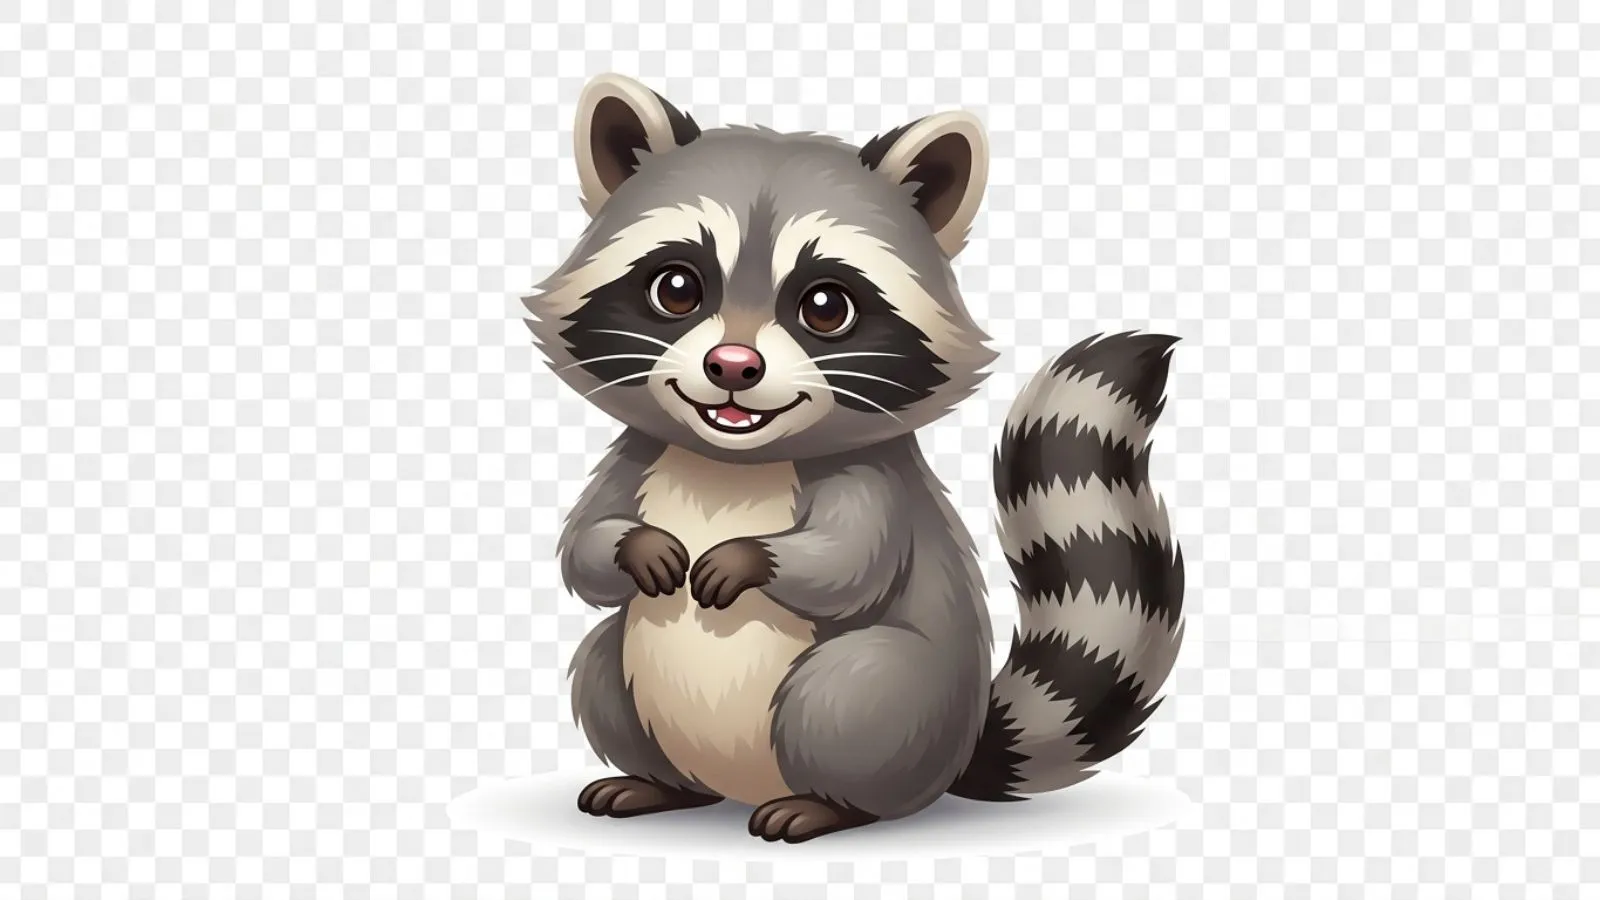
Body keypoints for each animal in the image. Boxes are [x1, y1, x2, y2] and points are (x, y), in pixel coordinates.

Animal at [524, 74, 1186, 843]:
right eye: (677, 288)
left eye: (825, 306)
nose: (732, 366)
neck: (733, 460)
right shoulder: (639, 454)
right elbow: (583, 549)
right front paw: (632, 546)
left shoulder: (871, 477)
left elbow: (850, 560)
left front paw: (751, 557)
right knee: (602, 656)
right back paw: (659, 785)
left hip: (896, 710)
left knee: (850, 683)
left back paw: (829, 804)